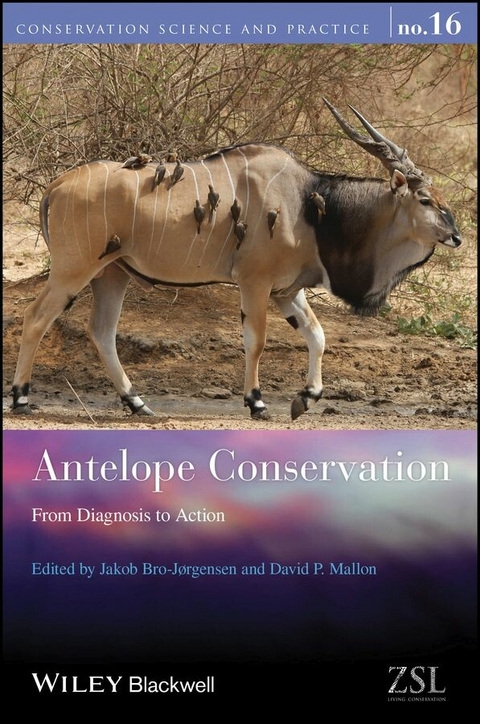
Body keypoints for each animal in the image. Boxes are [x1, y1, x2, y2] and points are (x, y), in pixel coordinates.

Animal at [11, 99, 462, 421]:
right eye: (425, 199)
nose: (456, 236)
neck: (311, 204)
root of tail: (57, 183)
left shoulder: (287, 291)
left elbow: (317, 335)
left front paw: (307, 398)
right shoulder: (255, 283)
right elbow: (256, 341)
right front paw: (257, 402)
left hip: (112, 274)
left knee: (101, 331)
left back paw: (137, 403)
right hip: (74, 270)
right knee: (36, 318)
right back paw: (20, 398)